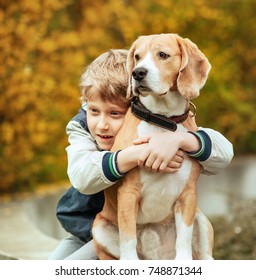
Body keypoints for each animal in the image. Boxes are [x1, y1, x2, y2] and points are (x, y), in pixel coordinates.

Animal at [92, 34, 214, 260]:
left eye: (163, 55)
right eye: (137, 57)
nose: (138, 72)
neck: (162, 120)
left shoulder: (188, 195)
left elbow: (184, 239)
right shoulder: (128, 193)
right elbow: (128, 239)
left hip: (201, 221)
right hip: (99, 227)